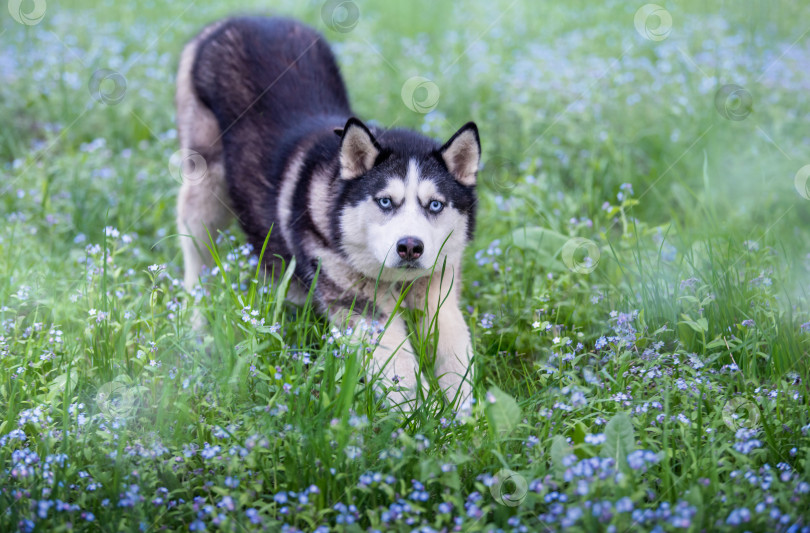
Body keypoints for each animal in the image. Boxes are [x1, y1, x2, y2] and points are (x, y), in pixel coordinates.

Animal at [175, 15, 480, 408]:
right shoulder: (362, 310)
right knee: (197, 262)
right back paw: (196, 323)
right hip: (205, 192)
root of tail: (237, 18)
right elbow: (402, 372)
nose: (410, 247)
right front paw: (423, 418)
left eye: (435, 205)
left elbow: (456, 355)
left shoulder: (439, 294)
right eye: (385, 201)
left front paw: (462, 413)